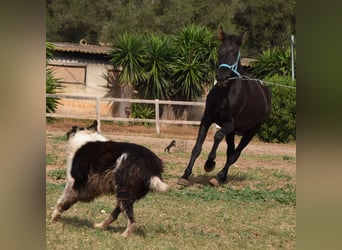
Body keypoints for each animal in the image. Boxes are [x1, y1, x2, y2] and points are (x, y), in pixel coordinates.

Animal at [178, 27, 272, 188]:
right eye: (219, 50)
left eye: (234, 52)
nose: (222, 77)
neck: (225, 94)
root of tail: (265, 90)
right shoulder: (207, 119)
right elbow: (197, 148)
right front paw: (185, 175)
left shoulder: (229, 124)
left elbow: (217, 136)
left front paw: (209, 163)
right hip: (233, 133)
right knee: (231, 152)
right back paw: (221, 177)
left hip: (251, 131)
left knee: (235, 154)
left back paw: (219, 176)